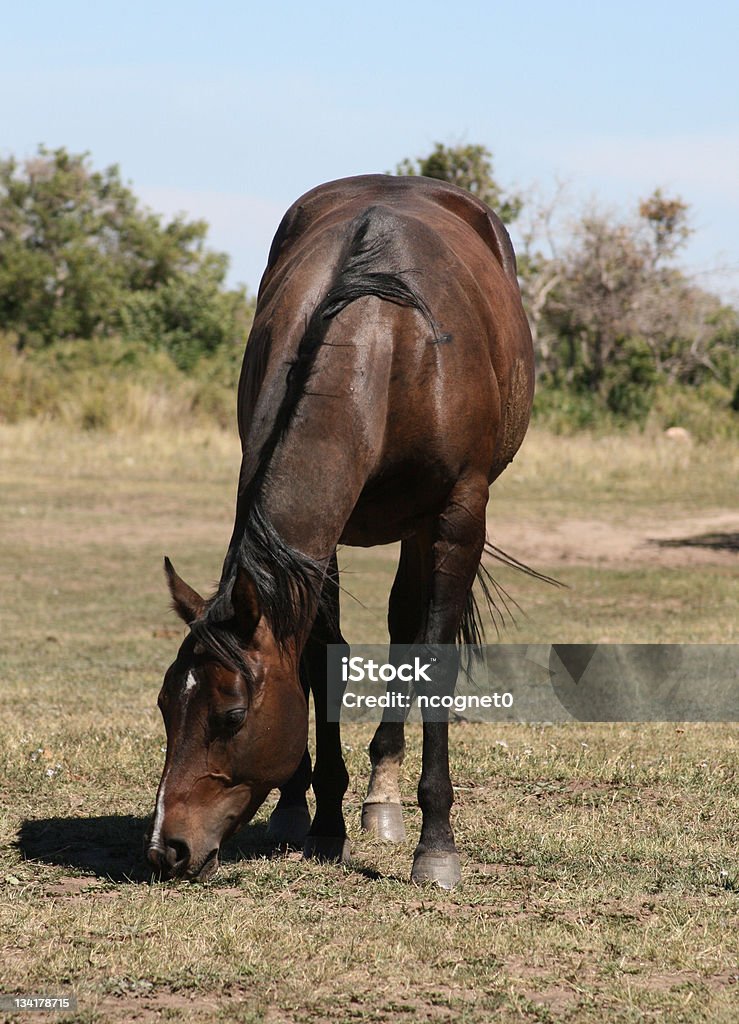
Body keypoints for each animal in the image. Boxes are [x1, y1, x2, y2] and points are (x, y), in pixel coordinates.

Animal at [146, 174, 532, 888]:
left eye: (231, 714)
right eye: (164, 705)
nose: (167, 848)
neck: (387, 340)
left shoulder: (457, 517)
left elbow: (432, 661)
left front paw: (436, 845)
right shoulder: (313, 545)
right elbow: (318, 657)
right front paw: (321, 817)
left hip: (423, 529)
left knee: (409, 630)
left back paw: (386, 799)